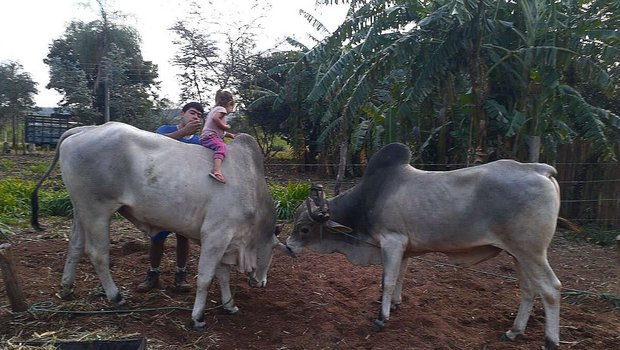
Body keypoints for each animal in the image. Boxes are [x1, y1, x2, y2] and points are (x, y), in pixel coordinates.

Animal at [30, 122, 288, 328]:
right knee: (97, 253)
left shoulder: (226, 241)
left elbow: (222, 275)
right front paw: (197, 318)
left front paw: (229, 306)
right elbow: (206, 278)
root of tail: (84, 130)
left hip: (80, 209)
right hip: (97, 210)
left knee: (74, 246)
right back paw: (116, 297)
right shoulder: (216, 234)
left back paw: (67, 289)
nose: (262, 282)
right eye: (273, 250)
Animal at [288, 143, 564, 350]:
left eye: (304, 229)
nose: (289, 248)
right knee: (528, 289)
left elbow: (387, 280)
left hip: (531, 252)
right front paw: (395, 304)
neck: (369, 198)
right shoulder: (405, 248)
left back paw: (551, 341)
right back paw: (513, 332)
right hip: (517, 253)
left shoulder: (392, 241)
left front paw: (382, 318)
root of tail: (540, 169)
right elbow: (400, 276)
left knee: (550, 288)